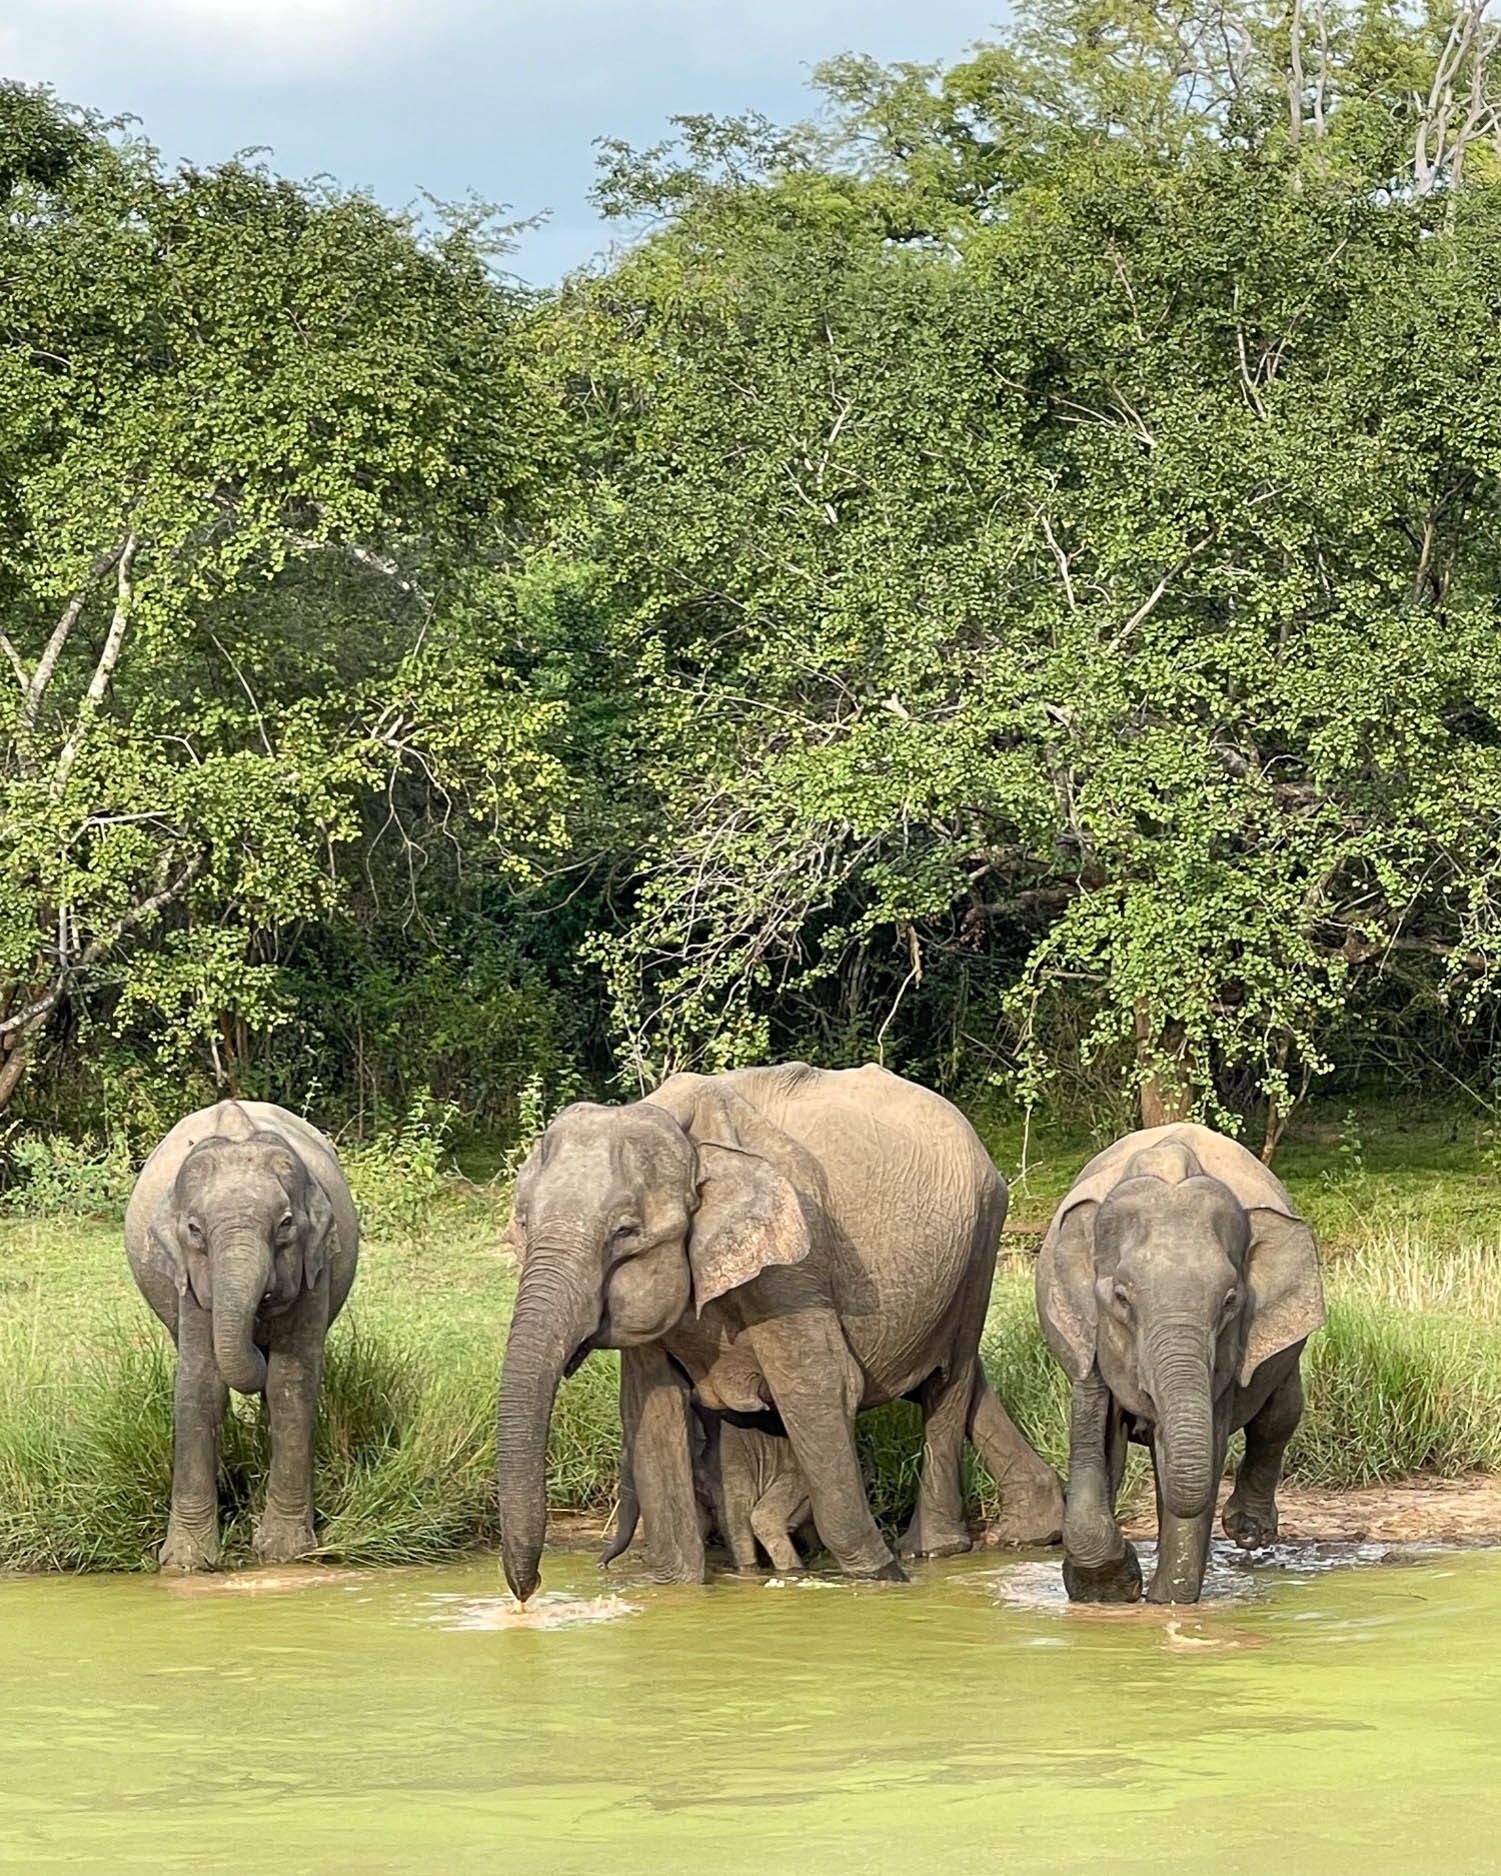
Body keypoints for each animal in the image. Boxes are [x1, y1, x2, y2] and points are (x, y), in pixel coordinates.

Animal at [122, 1095, 358, 1568]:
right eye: (194, 1229)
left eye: (285, 1223)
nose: (259, 1320)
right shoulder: (190, 1281)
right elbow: (200, 1384)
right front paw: (187, 1563)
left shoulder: (315, 1269)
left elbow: (290, 1381)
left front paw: (284, 1553)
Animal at [499, 1065, 1058, 1605]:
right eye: (522, 1225)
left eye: (625, 1232)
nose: (527, 1594)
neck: (684, 1134)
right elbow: (652, 1415)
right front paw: (677, 1594)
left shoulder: (795, 1265)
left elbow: (819, 1388)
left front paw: (881, 1581)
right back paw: (1029, 1530)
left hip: (981, 1240)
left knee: (949, 1379)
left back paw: (932, 1552)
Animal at [1035, 1118, 1328, 1605]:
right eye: (1122, 1298)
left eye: (1229, 1301)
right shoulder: (1088, 1334)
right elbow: (1095, 1437)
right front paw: (1110, 1591)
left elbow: (1206, 1449)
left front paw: (1166, 1602)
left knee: (1280, 1414)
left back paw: (1248, 1531)